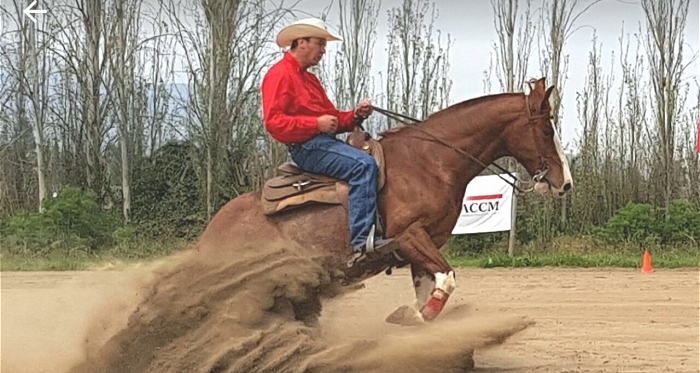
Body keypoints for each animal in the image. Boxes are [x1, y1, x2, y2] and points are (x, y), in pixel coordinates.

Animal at [194, 77, 572, 326]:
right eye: (546, 129)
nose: (564, 183)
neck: (429, 162)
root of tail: (211, 234)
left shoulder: (424, 246)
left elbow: (433, 286)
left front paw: (415, 316)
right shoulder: (408, 236)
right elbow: (448, 277)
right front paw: (410, 315)